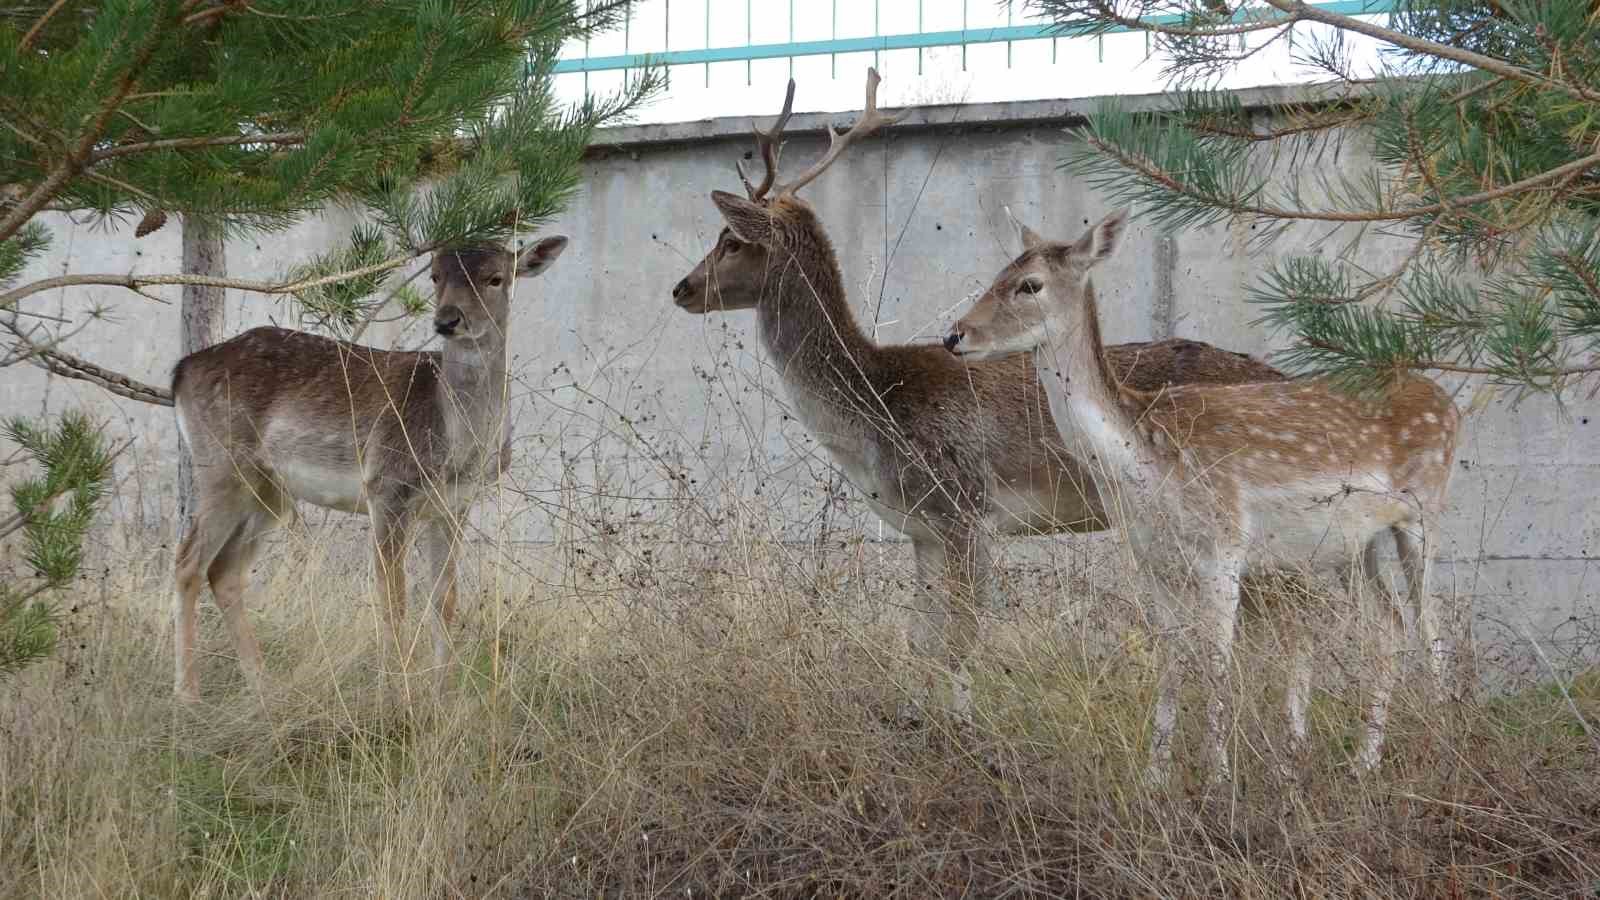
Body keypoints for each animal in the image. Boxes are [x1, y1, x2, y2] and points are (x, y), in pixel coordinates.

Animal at [168, 237, 566, 701]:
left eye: (496, 277)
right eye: (435, 275)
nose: (448, 320)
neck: (458, 449)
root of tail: (181, 371)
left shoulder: (454, 506)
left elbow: (445, 601)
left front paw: (442, 695)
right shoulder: (388, 487)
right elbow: (394, 600)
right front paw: (398, 694)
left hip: (269, 489)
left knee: (225, 570)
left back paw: (264, 688)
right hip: (221, 464)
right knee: (188, 562)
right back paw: (187, 693)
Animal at [665, 68, 1286, 714]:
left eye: (730, 240)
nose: (682, 288)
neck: (876, 415)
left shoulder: (967, 508)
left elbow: (961, 640)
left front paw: (960, 723)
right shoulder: (922, 529)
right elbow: (920, 640)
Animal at [947, 211, 1465, 778]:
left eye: (1030, 284)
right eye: (1000, 271)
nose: (955, 334)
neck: (1143, 463)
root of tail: (1445, 400)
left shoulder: (1225, 544)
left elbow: (1217, 660)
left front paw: (1217, 775)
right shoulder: (1151, 559)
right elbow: (1171, 657)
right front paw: (1156, 774)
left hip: (1425, 509)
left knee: (1432, 623)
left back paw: (1440, 745)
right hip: (1353, 543)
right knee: (1390, 624)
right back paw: (1364, 762)